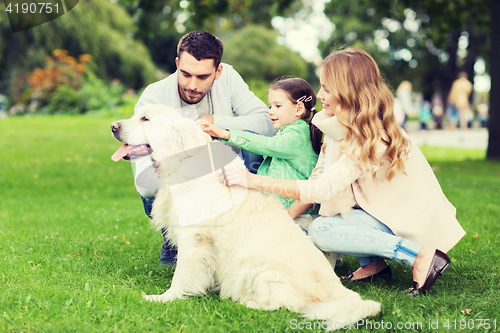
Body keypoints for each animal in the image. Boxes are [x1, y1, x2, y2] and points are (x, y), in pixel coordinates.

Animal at [111, 105, 380, 328]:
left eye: (145, 118)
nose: (113, 126)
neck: (182, 159)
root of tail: (338, 290)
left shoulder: (193, 238)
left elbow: (181, 274)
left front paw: (164, 298)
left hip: (255, 270)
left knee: (282, 305)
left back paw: (244, 302)